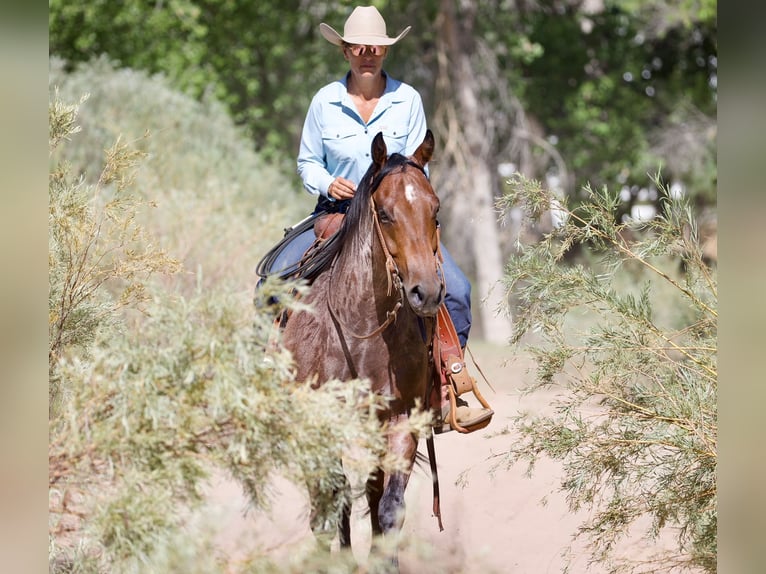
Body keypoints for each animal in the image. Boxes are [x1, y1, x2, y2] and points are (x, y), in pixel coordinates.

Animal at [281, 129, 443, 567]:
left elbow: (389, 507)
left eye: (435, 211)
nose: (427, 292)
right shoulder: (319, 420)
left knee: (371, 491)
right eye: (385, 214)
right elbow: (331, 501)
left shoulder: (401, 418)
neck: (361, 331)